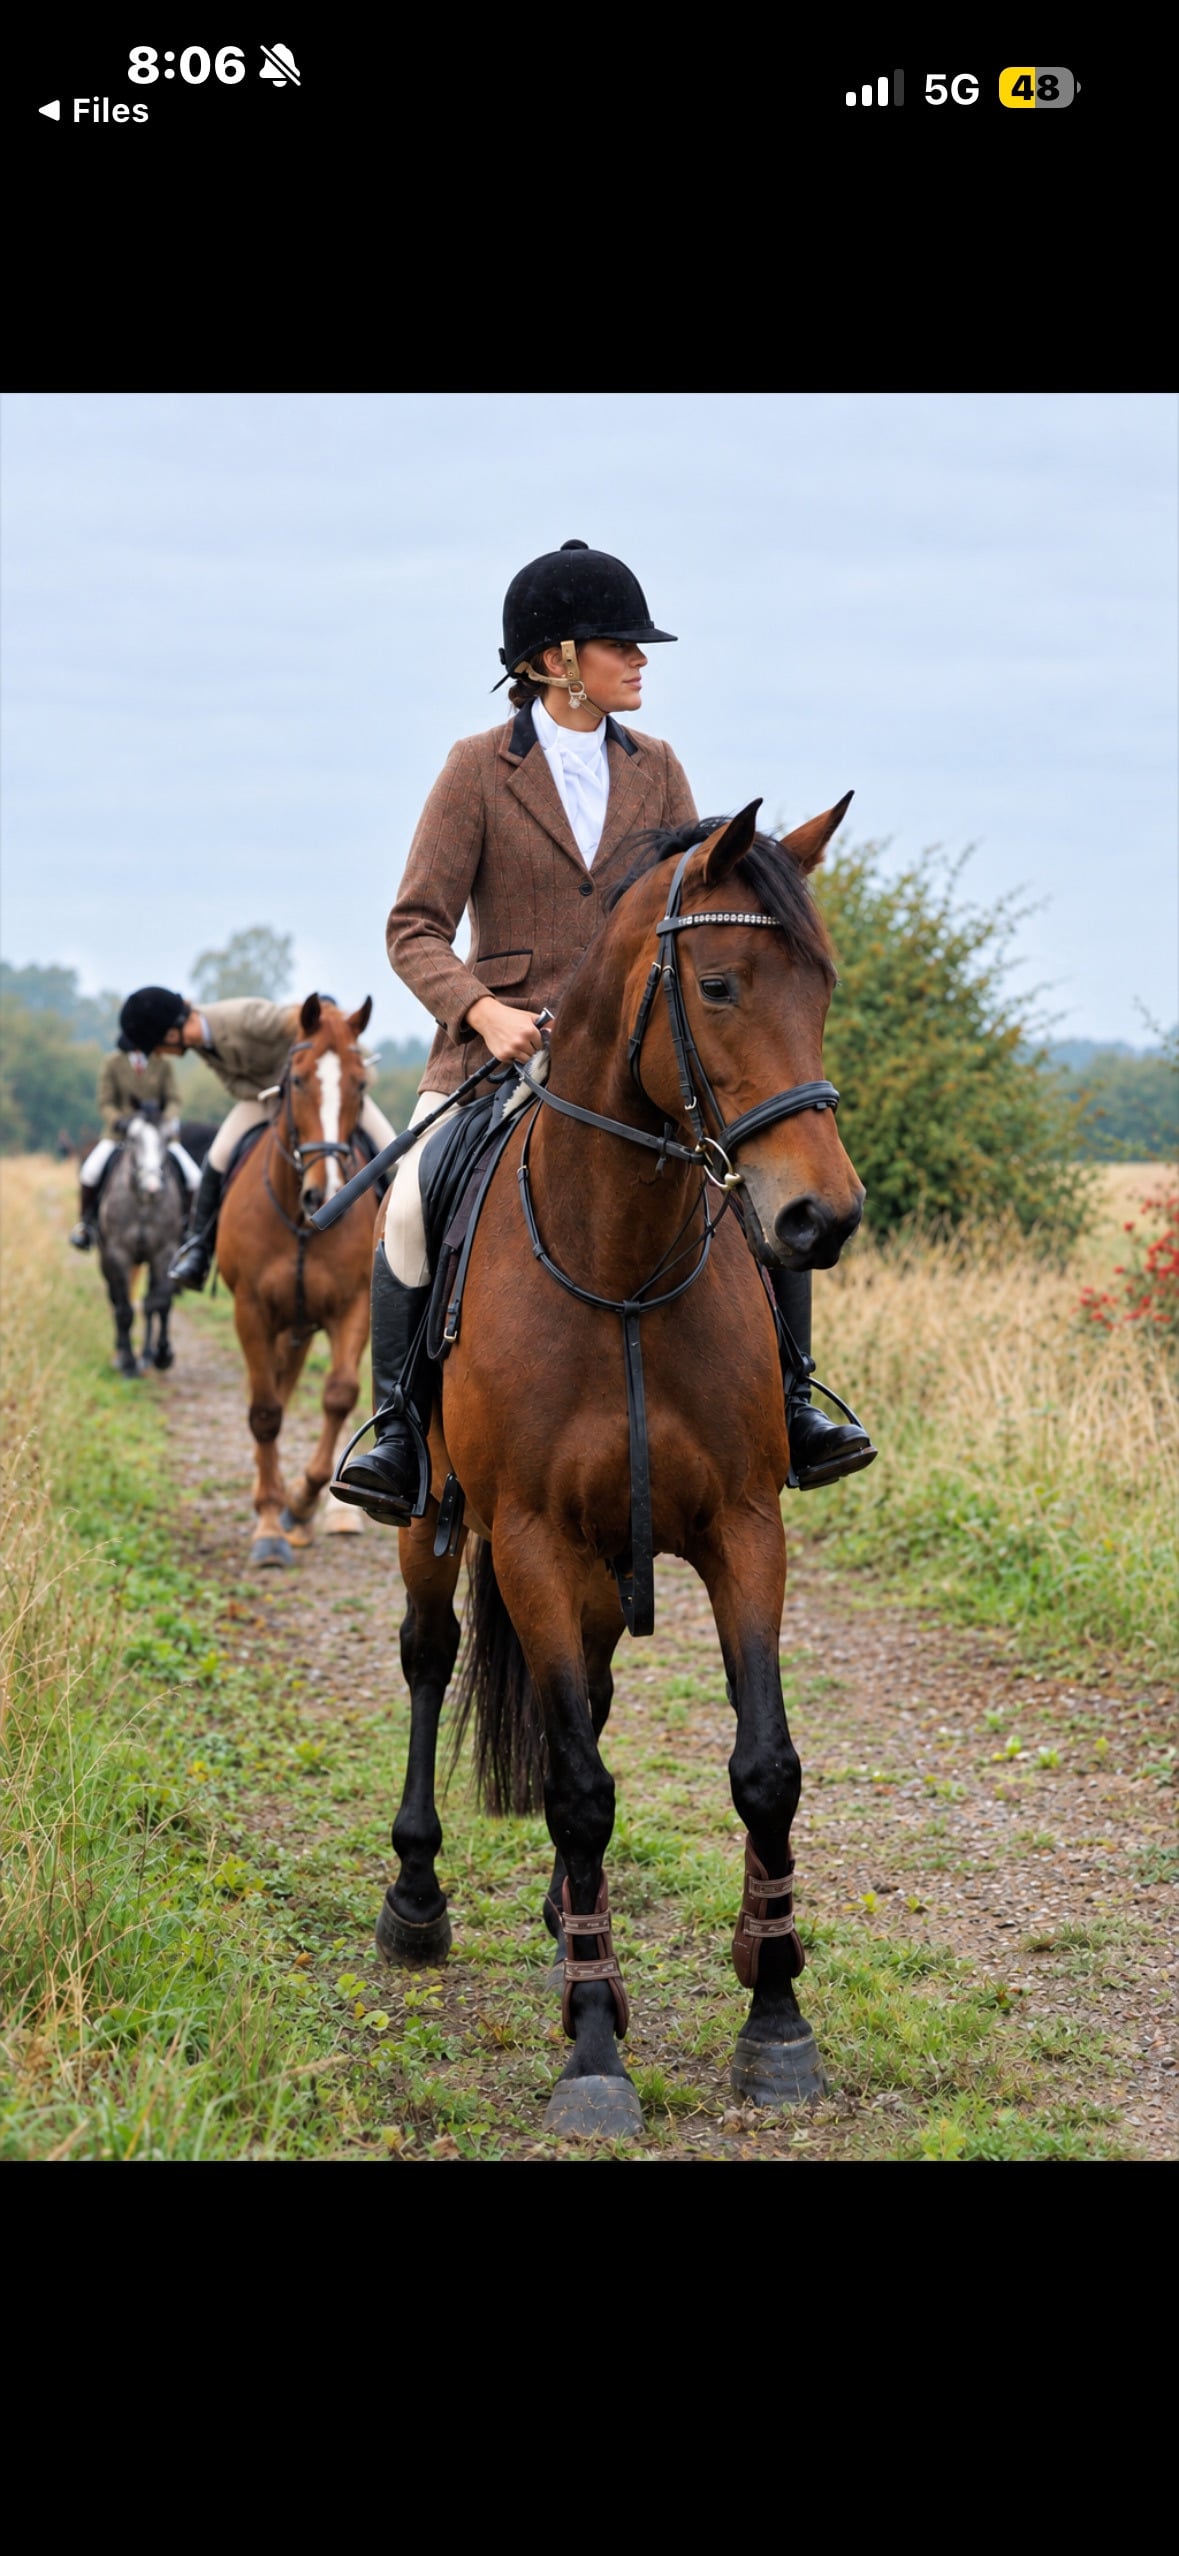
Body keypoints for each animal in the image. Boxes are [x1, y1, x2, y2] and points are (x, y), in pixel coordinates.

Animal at [96, 1103, 187, 1378]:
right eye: (134, 1139)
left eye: (167, 1139)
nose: (152, 1187)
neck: (143, 1205)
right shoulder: (118, 1254)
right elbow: (125, 1309)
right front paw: (127, 1363)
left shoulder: (164, 1254)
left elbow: (159, 1304)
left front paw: (161, 1355)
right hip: (106, 1260)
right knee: (116, 1299)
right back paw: (121, 1352)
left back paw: (147, 1355)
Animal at [215, 995, 378, 1568]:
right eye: (301, 1080)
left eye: (360, 1084)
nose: (323, 1192)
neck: (303, 1221)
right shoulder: (250, 1312)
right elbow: (265, 1413)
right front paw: (268, 1524)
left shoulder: (352, 1307)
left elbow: (339, 1395)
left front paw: (304, 1502)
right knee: (273, 1397)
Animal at [373, 795, 867, 2136]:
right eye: (719, 983)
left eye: (823, 985)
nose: (821, 1220)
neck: (625, 1258)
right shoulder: (533, 1540)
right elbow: (579, 1788)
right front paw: (594, 2045)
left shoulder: (745, 1529)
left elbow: (765, 1770)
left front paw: (776, 2010)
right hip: (439, 1525)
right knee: (433, 1658)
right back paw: (418, 1900)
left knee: (582, 1694)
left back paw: (563, 1913)